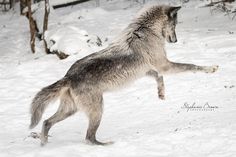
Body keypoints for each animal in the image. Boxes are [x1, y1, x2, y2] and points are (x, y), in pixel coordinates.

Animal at [29, 5, 219, 146]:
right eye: (175, 25)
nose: (176, 40)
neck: (147, 30)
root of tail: (68, 76)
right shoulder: (164, 66)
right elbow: (191, 66)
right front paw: (211, 68)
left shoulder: (148, 70)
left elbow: (159, 77)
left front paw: (161, 94)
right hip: (97, 110)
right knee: (88, 138)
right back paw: (106, 144)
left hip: (70, 110)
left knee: (46, 122)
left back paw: (44, 144)